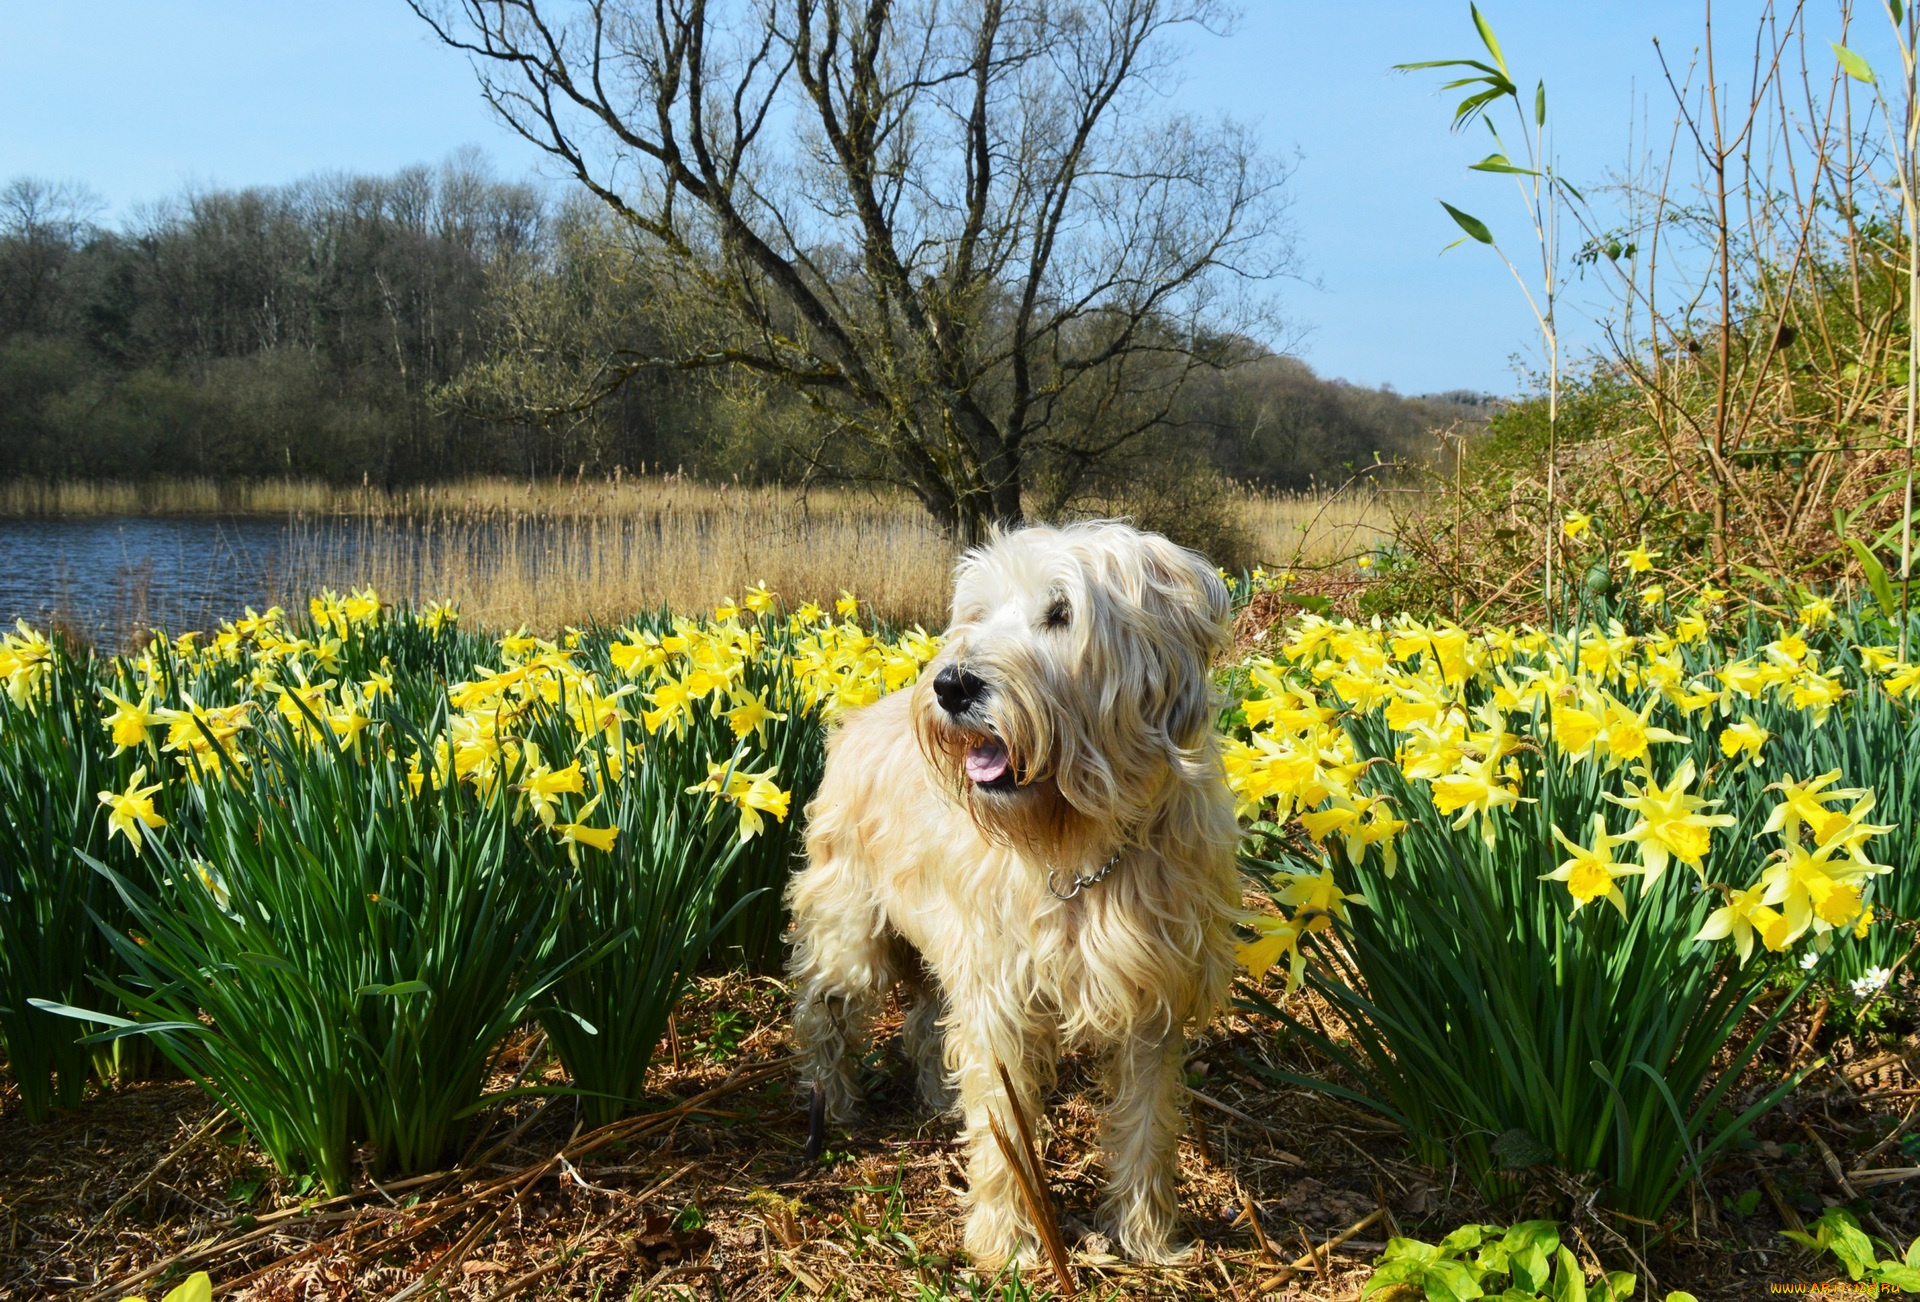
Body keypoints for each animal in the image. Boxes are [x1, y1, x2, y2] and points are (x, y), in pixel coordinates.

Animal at [787, 518, 1236, 1267]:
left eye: (1060, 613)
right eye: (975, 614)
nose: (950, 684)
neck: (1083, 845)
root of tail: (856, 718)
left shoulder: (1153, 997)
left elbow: (1146, 1121)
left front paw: (1146, 1235)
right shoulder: (1000, 990)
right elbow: (1003, 1122)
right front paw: (1009, 1240)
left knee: (924, 1022)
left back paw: (935, 1095)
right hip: (849, 933)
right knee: (826, 1013)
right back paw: (833, 1105)